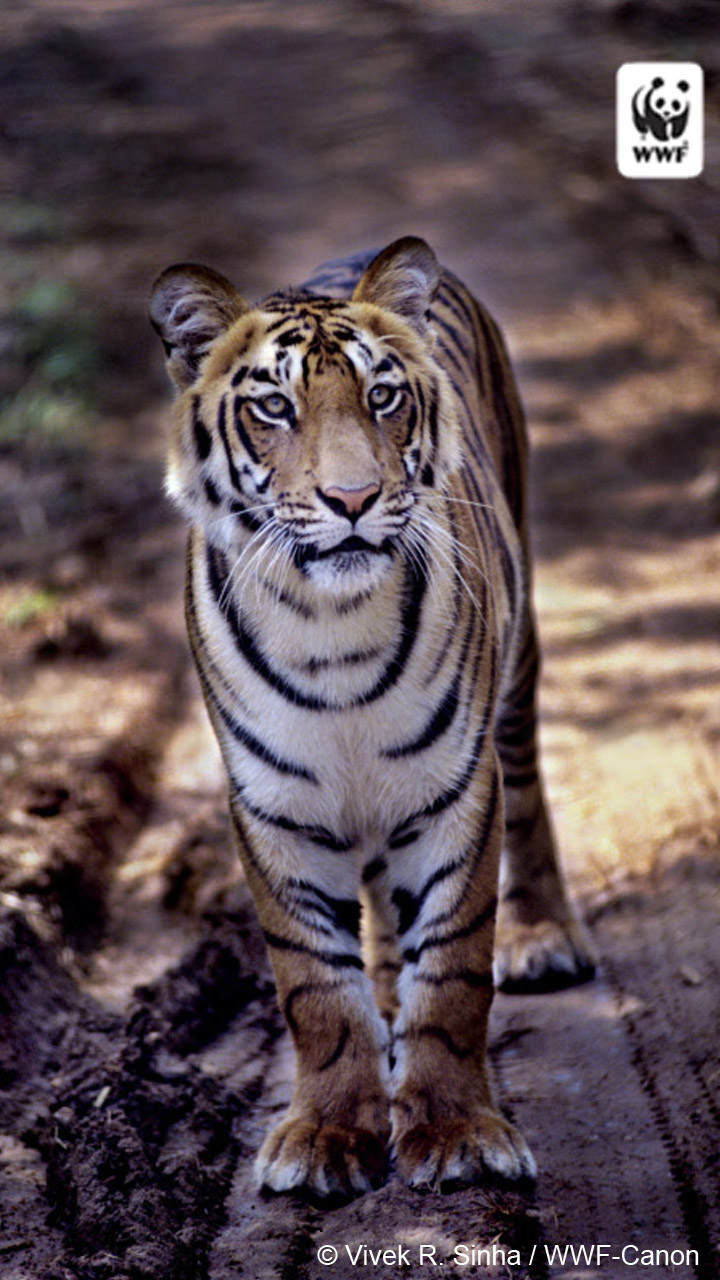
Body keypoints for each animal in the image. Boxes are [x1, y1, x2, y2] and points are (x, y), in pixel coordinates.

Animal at [150, 236, 595, 1200]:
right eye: (274, 407)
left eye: (382, 396)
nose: (351, 499)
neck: (331, 629)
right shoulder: (272, 806)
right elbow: (317, 990)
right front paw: (327, 1134)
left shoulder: (457, 786)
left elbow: (455, 969)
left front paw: (458, 1133)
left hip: (517, 669)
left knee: (530, 791)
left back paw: (543, 937)